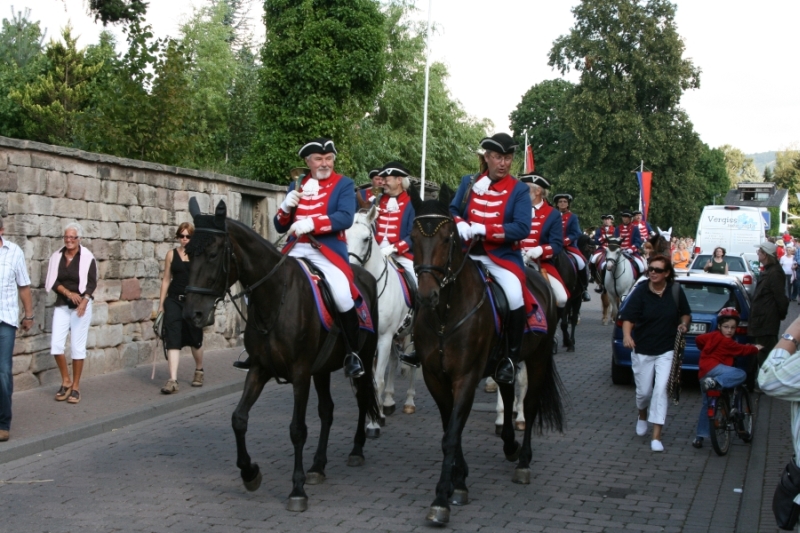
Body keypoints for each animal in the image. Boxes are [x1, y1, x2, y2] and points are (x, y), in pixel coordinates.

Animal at [183, 198, 380, 512]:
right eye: (189, 253)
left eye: (213, 254)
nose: (193, 314)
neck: (275, 297)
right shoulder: (259, 369)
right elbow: (238, 419)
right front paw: (250, 472)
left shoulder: (300, 374)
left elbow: (297, 429)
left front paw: (296, 490)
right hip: (321, 369)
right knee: (327, 410)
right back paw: (318, 466)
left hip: (363, 354)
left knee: (362, 399)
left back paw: (357, 449)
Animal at [346, 205, 418, 436]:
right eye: (343, 235)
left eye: (366, 238)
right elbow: (369, 379)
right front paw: (374, 412)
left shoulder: (384, 338)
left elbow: (377, 379)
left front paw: (373, 423)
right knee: (394, 361)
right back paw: (387, 402)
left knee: (413, 365)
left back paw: (409, 402)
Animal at [412, 186, 564, 524]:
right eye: (413, 238)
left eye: (448, 238)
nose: (427, 296)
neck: (445, 314)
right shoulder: (434, 377)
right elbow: (449, 429)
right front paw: (459, 481)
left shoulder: (466, 377)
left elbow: (452, 434)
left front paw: (441, 498)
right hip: (503, 361)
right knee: (507, 391)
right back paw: (509, 443)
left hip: (537, 358)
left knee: (529, 404)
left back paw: (523, 461)